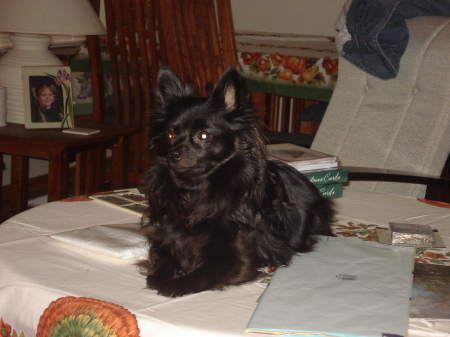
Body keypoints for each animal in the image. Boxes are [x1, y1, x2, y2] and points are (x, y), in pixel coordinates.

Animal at [140, 67, 334, 296]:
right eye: (169, 135)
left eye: (204, 136)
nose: (174, 154)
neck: (196, 192)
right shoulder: (165, 237)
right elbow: (162, 256)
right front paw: (160, 275)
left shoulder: (236, 260)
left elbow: (202, 273)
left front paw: (175, 284)